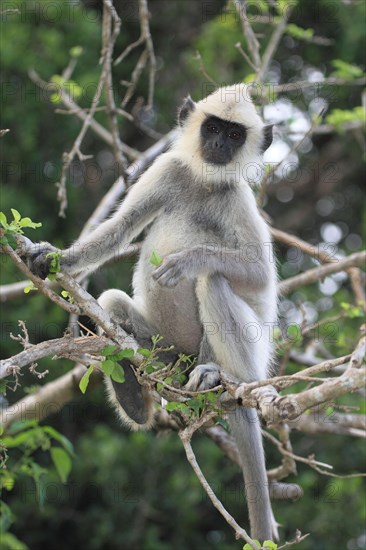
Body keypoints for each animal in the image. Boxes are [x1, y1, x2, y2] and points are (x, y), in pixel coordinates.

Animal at [28, 85, 278, 544]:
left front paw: (189, 260)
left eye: (235, 135)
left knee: (213, 281)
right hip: (163, 351)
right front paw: (57, 258)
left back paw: (218, 375)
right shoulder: (169, 169)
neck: (204, 181)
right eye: (213, 128)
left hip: (248, 360)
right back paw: (133, 392)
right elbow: (120, 228)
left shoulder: (238, 197)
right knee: (111, 302)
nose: (219, 146)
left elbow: (259, 276)